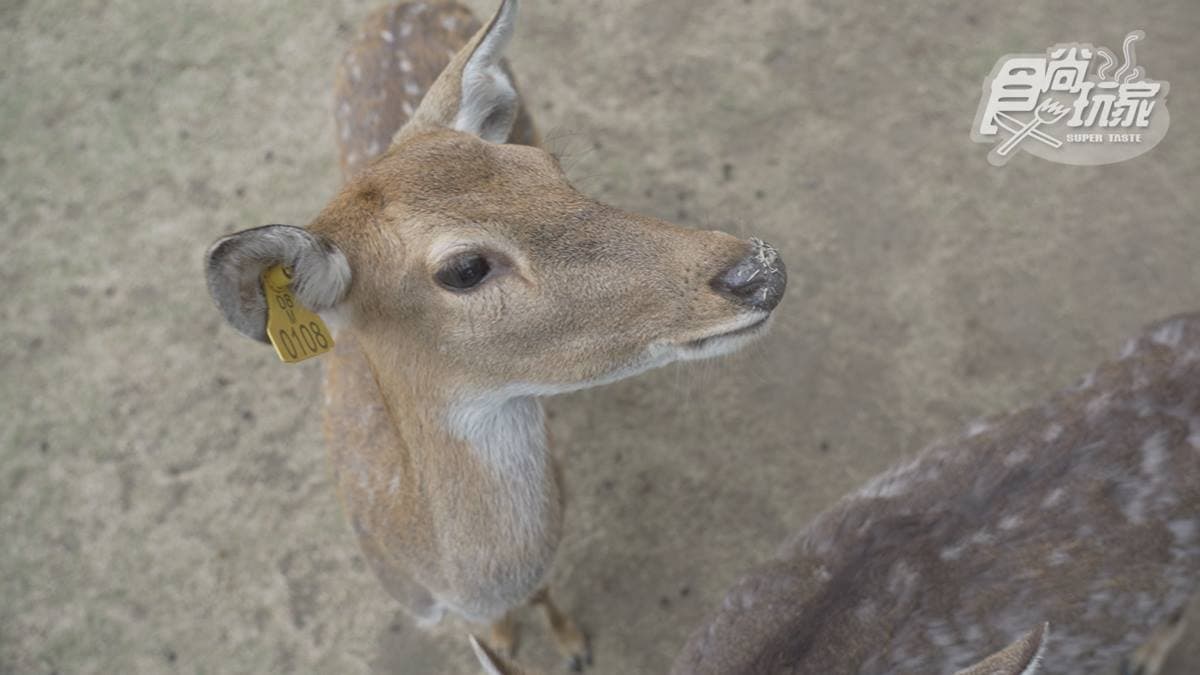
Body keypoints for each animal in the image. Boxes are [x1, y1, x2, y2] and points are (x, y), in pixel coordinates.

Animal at [203, 0, 786, 670]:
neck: (453, 579)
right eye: (464, 268)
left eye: (546, 169)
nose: (759, 269)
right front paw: (514, 639)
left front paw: (573, 644)